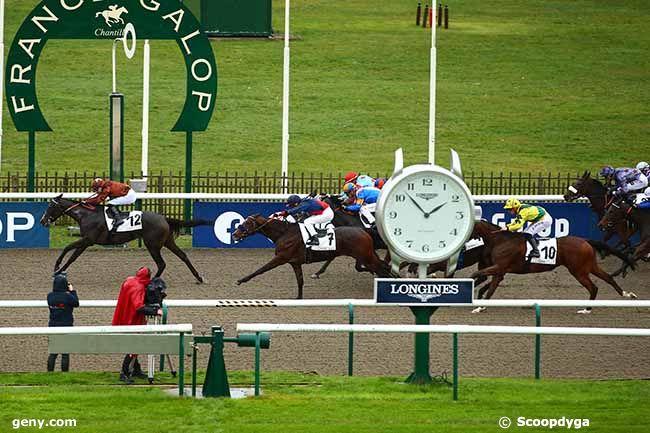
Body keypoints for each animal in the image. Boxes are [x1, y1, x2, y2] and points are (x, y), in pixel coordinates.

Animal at [38, 195, 209, 282]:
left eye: (50, 206)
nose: (42, 221)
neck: (86, 215)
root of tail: (164, 218)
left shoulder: (88, 240)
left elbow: (67, 248)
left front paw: (56, 267)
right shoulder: (86, 242)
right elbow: (72, 257)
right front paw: (59, 271)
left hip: (152, 244)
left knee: (162, 263)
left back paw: (152, 280)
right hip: (167, 241)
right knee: (183, 256)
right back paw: (199, 277)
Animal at [233, 214, 394, 298]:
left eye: (247, 223)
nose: (234, 234)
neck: (284, 233)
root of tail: (364, 231)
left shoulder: (281, 258)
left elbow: (261, 269)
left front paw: (241, 280)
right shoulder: (295, 262)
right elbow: (300, 281)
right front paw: (299, 298)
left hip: (366, 256)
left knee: (383, 269)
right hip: (366, 255)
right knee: (381, 267)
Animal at [468, 221, 636, 312]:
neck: (501, 240)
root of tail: (585, 241)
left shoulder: (499, 267)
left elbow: (481, 281)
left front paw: (479, 307)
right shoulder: (500, 270)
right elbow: (488, 286)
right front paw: (479, 302)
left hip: (579, 271)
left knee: (593, 287)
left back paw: (586, 309)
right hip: (589, 266)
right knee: (608, 278)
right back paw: (626, 294)